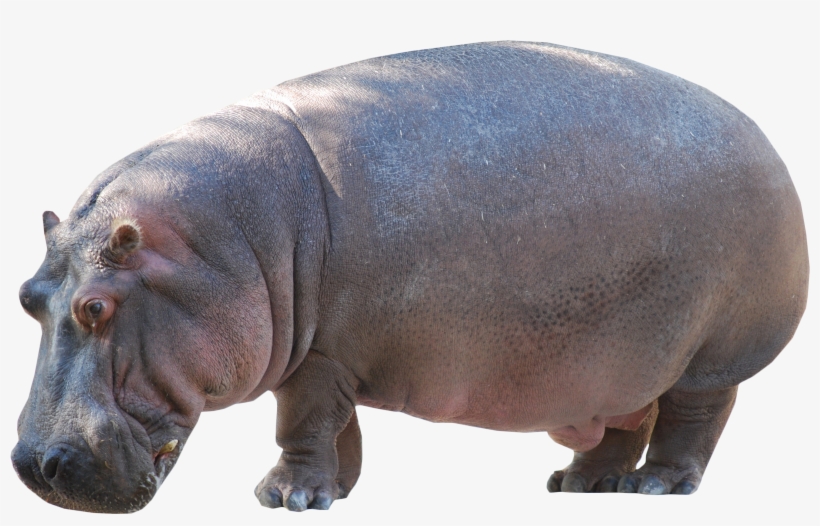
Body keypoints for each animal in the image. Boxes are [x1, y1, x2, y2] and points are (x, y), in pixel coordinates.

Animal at [12, 41, 808, 513]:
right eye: (26, 298)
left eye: (96, 307)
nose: (34, 465)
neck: (221, 242)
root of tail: (763, 136)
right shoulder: (329, 352)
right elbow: (337, 429)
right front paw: (328, 494)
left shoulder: (323, 355)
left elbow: (304, 422)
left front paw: (281, 499)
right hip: (621, 360)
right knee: (623, 420)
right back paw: (581, 485)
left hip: (711, 355)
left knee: (692, 420)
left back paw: (656, 487)